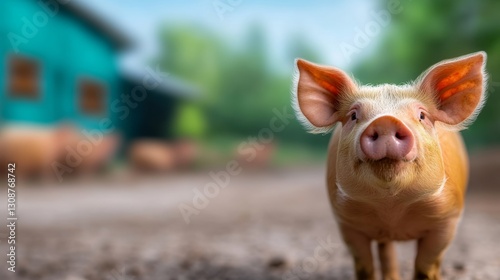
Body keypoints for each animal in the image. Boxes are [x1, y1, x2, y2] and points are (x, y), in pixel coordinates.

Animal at [292, 51, 488, 278]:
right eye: (353, 115)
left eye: (422, 115)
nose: (385, 121)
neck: (391, 208)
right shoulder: (347, 222)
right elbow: (364, 266)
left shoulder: (448, 218)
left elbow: (426, 264)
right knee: (386, 251)